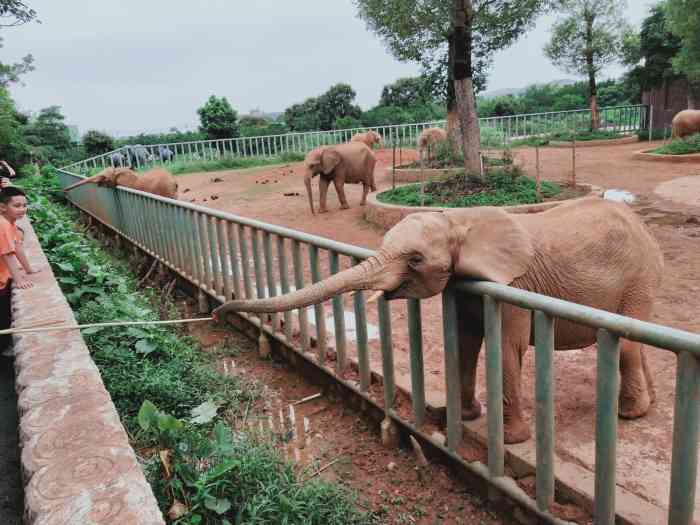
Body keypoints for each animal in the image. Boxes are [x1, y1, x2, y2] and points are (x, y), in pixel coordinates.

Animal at [216, 196, 664, 442]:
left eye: (415, 259)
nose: (218, 313)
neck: (459, 219)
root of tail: (643, 227)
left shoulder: (516, 282)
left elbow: (507, 346)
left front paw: (512, 441)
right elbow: (465, 341)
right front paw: (465, 418)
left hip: (638, 276)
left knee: (627, 342)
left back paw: (631, 414)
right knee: (633, 342)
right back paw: (649, 405)